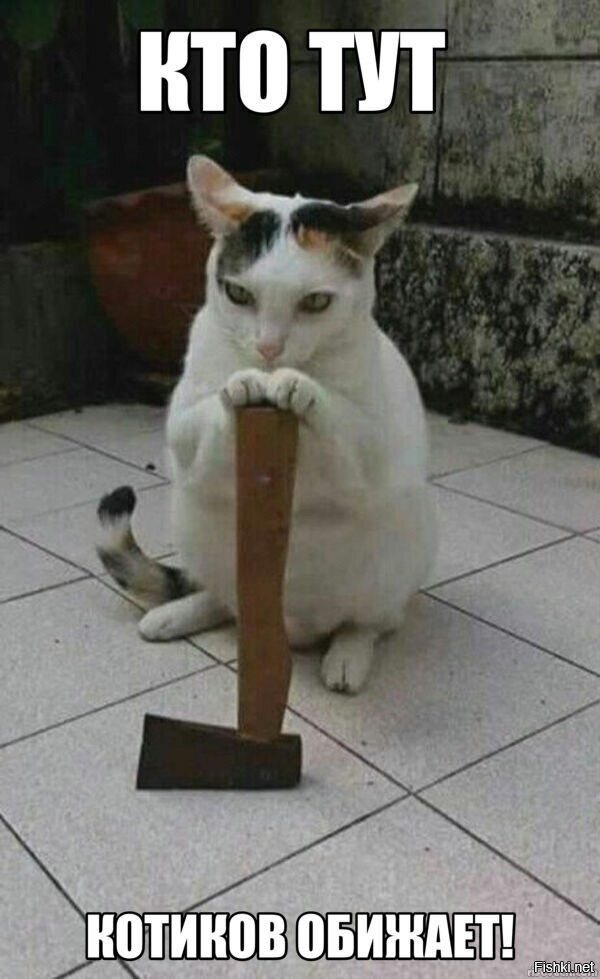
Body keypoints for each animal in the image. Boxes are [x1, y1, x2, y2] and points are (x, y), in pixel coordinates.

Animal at [97, 156, 437, 694]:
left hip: (406, 544)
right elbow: (203, 415)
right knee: (225, 598)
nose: (268, 349)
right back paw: (178, 613)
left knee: (373, 621)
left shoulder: (375, 445)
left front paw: (299, 385)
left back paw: (348, 656)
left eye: (316, 302)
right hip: (194, 524)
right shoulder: (184, 425)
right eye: (238, 294)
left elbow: (347, 425)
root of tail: (294, 627)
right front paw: (241, 384)